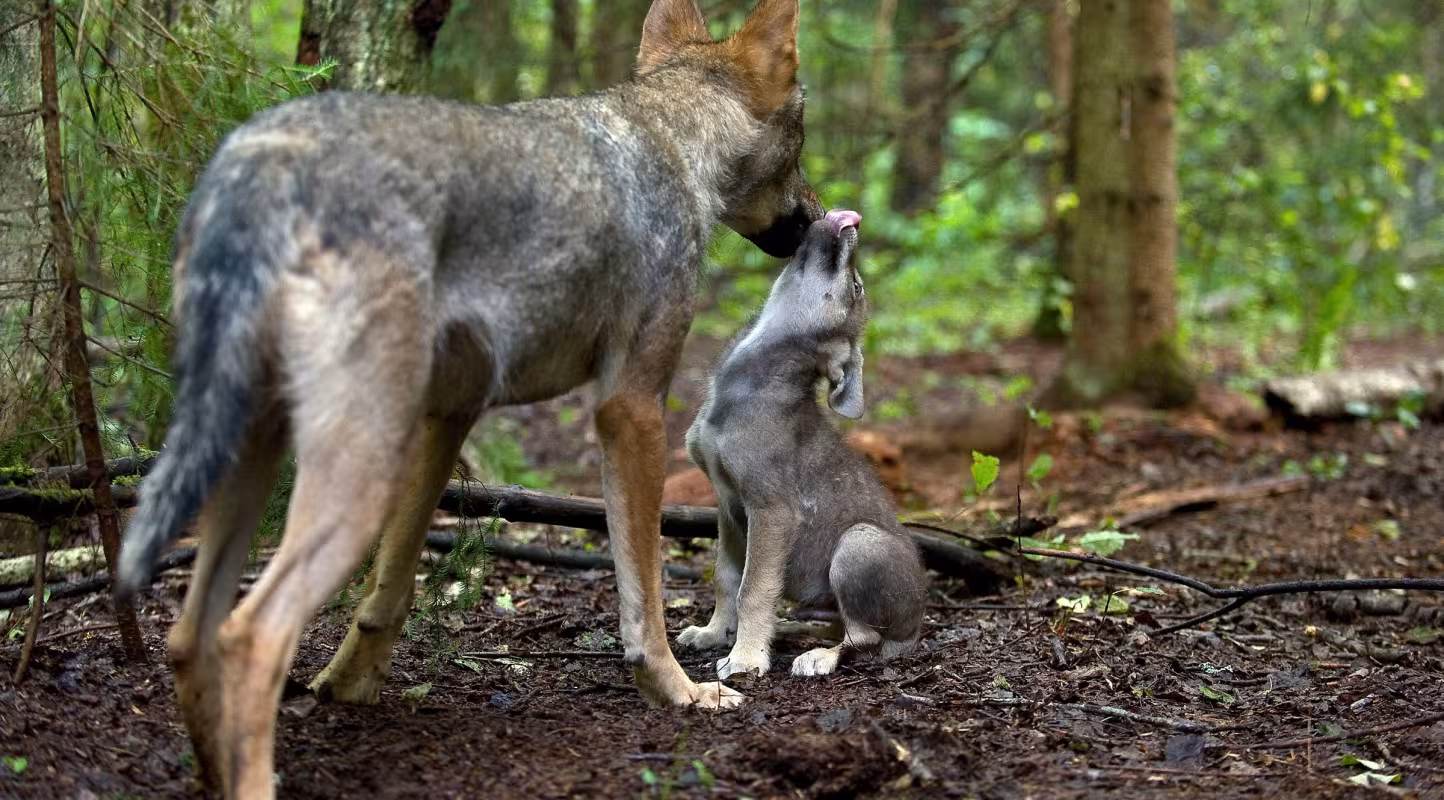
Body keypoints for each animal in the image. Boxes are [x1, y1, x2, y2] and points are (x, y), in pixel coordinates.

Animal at [113, 0, 823, 796]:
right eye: (803, 143)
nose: (818, 214)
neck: (668, 140)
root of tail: (256, 166)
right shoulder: (632, 407)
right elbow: (643, 596)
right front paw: (680, 691)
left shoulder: (447, 414)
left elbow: (388, 591)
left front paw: (348, 686)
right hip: (351, 474)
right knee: (250, 634)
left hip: (254, 457)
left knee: (189, 635)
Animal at [678, 210, 928, 680]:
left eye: (856, 287)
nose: (855, 222)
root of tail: (916, 631)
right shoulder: (726, 503)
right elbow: (725, 577)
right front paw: (715, 633)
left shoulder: (771, 509)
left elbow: (753, 587)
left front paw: (746, 657)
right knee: (839, 625)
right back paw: (791, 629)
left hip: (857, 543)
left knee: (863, 637)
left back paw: (818, 656)